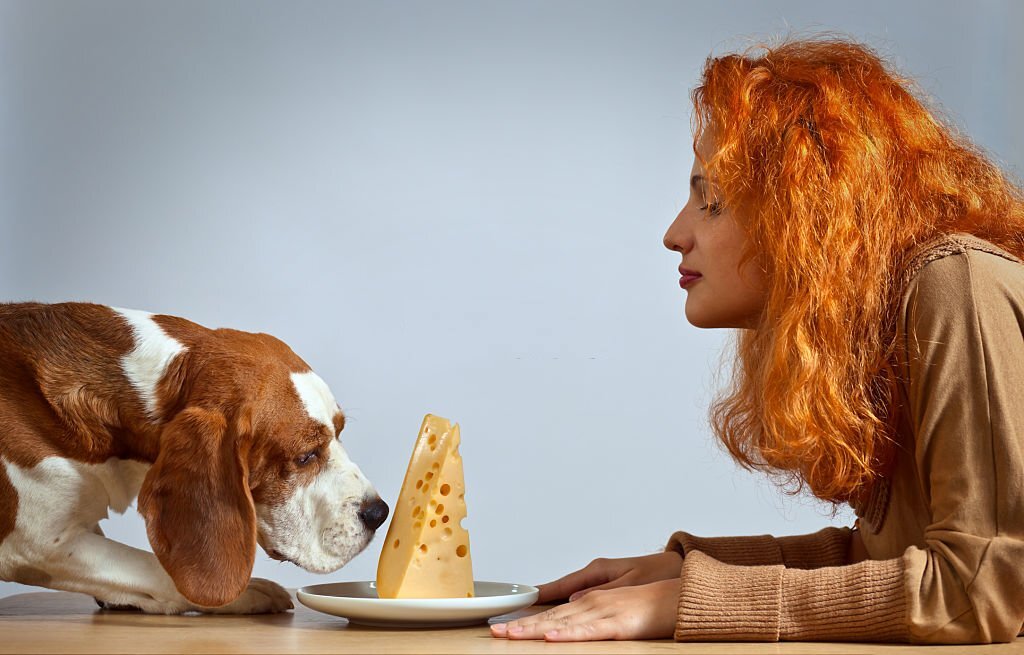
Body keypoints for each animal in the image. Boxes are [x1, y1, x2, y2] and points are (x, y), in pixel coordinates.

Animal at [0, 302, 387, 614]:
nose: (379, 514)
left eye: (340, 431)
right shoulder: (35, 542)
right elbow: (151, 568)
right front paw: (247, 593)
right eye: (306, 456)